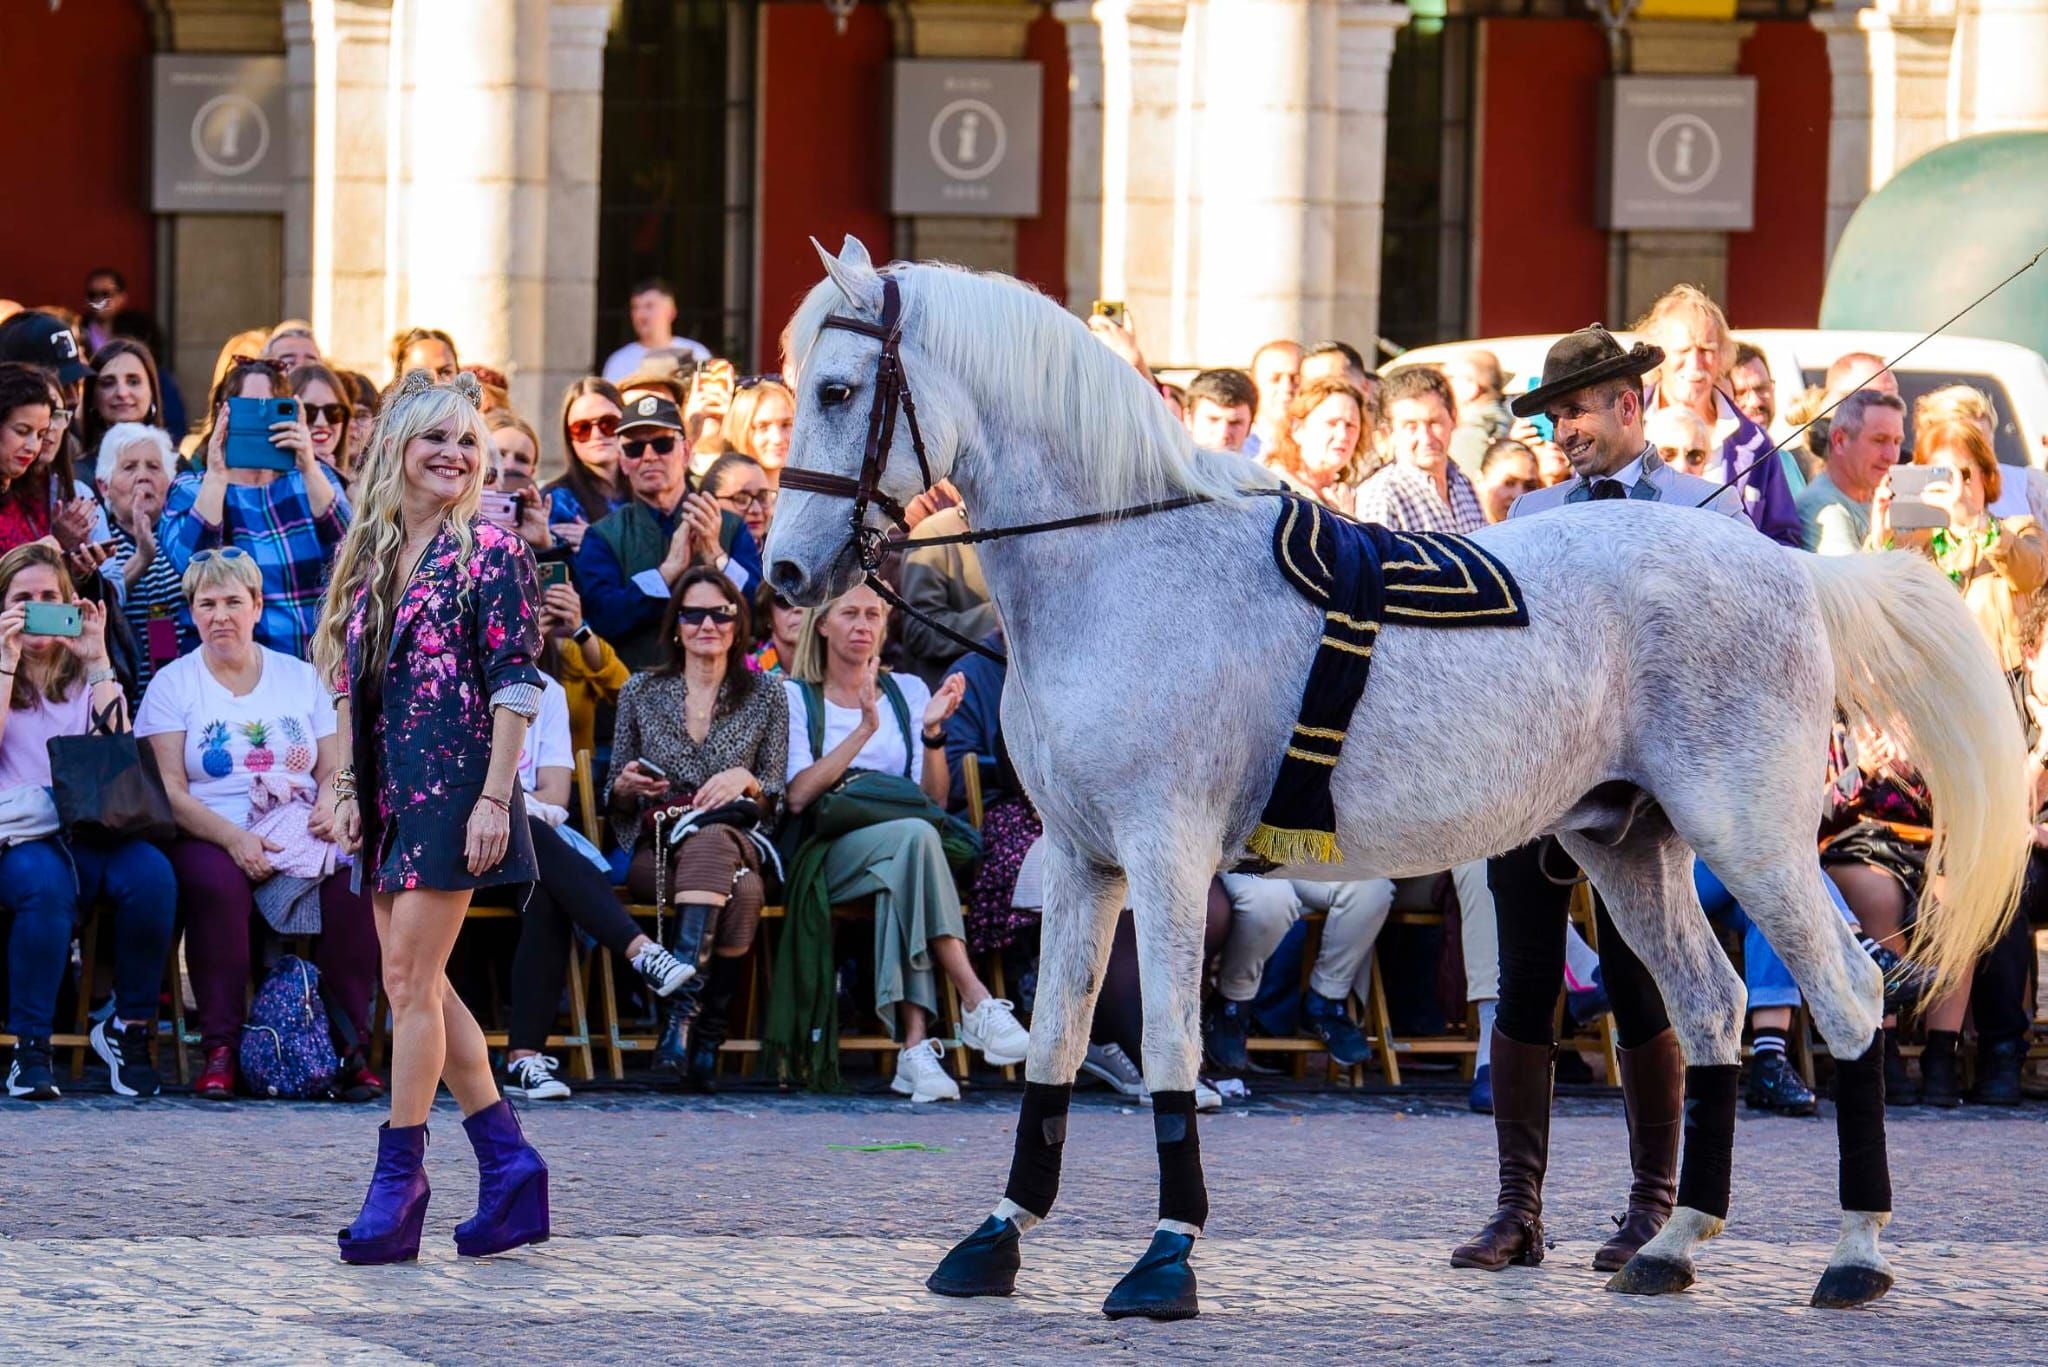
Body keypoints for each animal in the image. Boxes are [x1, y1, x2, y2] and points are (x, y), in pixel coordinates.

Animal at [770, 240, 2031, 1319]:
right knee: (1713, 1008)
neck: (1123, 558)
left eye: (836, 387)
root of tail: (1788, 567)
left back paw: (1852, 1253)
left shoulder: (1163, 853)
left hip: (1749, 838)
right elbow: (1056, 1046)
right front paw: (995, 1238)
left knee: (1847, 999)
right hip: (1630, 844)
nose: (783, 571)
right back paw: (1671, 1245)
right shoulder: (1080, 860)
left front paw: (1165, 1255)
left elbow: (1171, 1042)